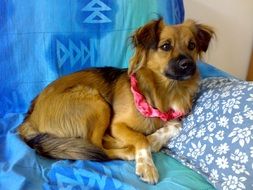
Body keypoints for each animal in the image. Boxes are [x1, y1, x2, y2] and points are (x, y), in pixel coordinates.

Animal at [18, 18, 214, 184]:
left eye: (191, 45)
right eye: (166, 46)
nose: (188, 65)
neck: (165, 91)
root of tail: (29, 118)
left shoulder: (175, 116)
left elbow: (176, 125)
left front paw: (155, 140)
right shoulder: (117, 124)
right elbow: (140, 138)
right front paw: (147, 163)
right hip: (97, 103)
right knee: (98, 147)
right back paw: (127, 150)